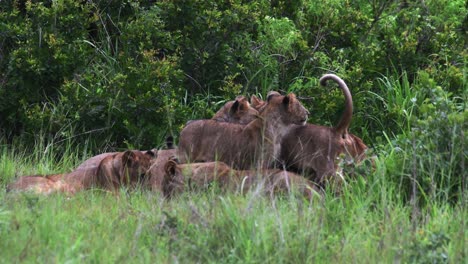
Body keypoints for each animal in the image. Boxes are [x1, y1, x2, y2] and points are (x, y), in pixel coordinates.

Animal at [177, 91, 308, 169]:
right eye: (299, 105)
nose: (308, 112)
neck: (278, 129)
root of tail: (186, 126)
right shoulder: (259, 164)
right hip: (186, 159)